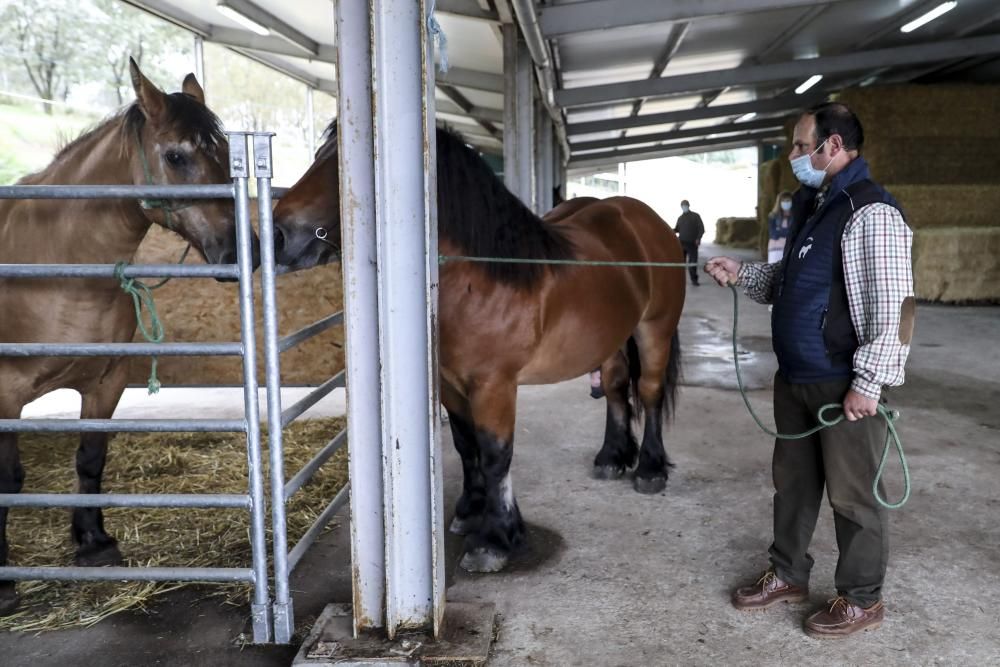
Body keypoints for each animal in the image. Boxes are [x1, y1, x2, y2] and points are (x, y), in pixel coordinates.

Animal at [0, 60, 258, 612]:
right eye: (177, 155)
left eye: (226, 152)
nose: (240, 249)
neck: (58, 267)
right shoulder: (6, 394)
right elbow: (9, 478)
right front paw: (4, 580)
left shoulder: (106, 381)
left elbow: (91, 458)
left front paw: (94, 543)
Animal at [270, 126, 684, 576]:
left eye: (345, 163)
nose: (277, 235)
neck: (482, 278)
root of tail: (643, 218)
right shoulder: (450, 384)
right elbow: (466, 445)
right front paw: (470, 511)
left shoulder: (493, 385)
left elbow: (495, 454)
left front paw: (495, 539)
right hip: (609, 338)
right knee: (615, 387)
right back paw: (612, 457)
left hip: (655, 329)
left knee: (649, 391)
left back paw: (650, 469)